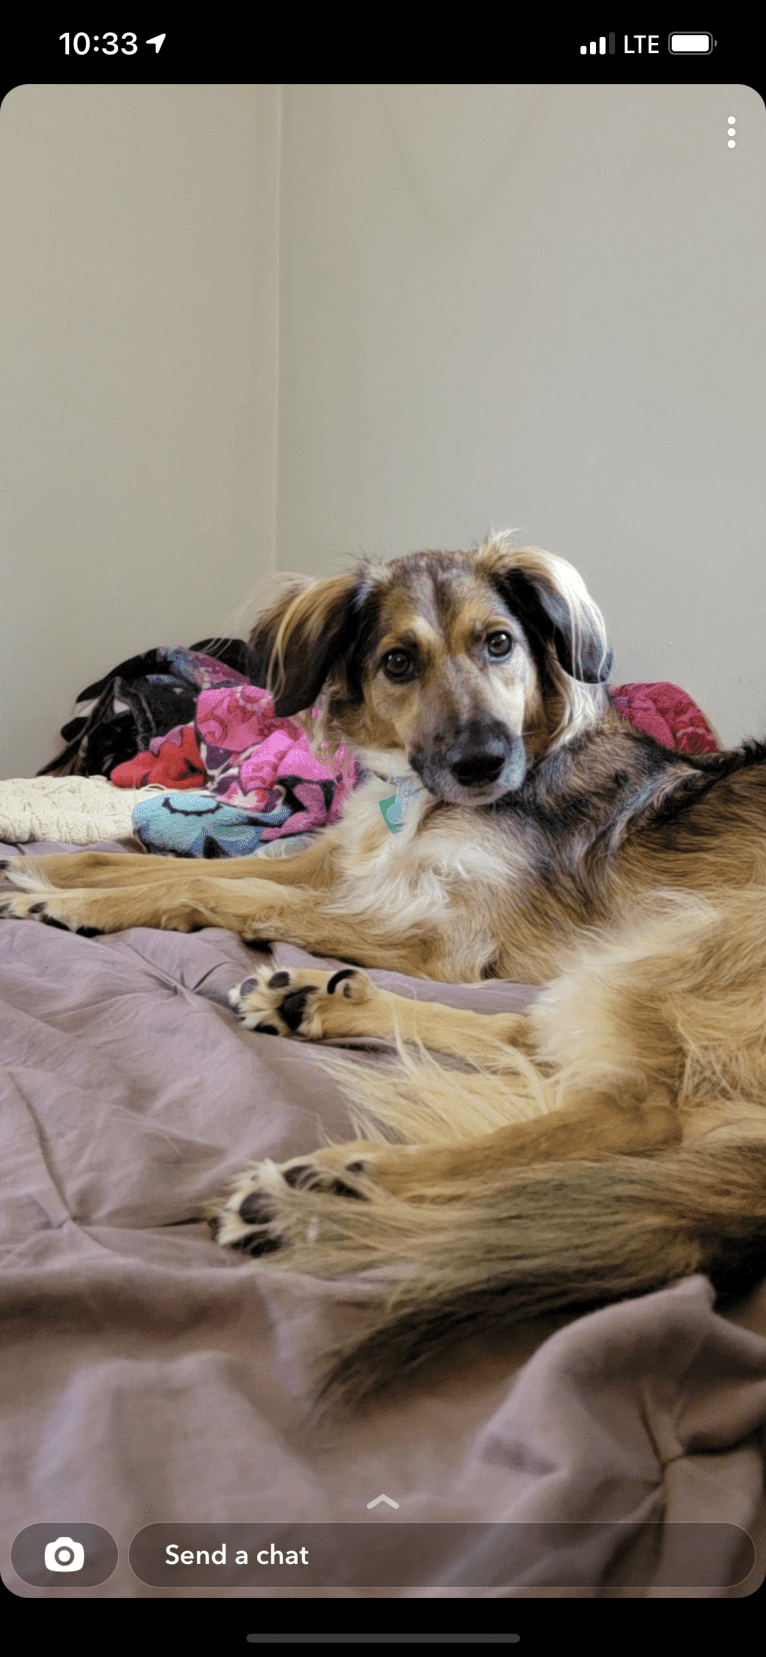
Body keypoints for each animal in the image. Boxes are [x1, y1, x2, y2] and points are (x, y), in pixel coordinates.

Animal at [4, 533, 766, 1411]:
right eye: (399, 661)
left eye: (498, 643)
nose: (481, 762)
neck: (420, 798)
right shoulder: (349, 865)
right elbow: (167, 865)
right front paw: (52, 873)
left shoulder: (439, 939)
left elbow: (210, 889)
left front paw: (74, 902)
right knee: (528, 1037)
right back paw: (315, 1003)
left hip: (686, 941)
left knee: (628, 1111)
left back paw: (319, 1189)